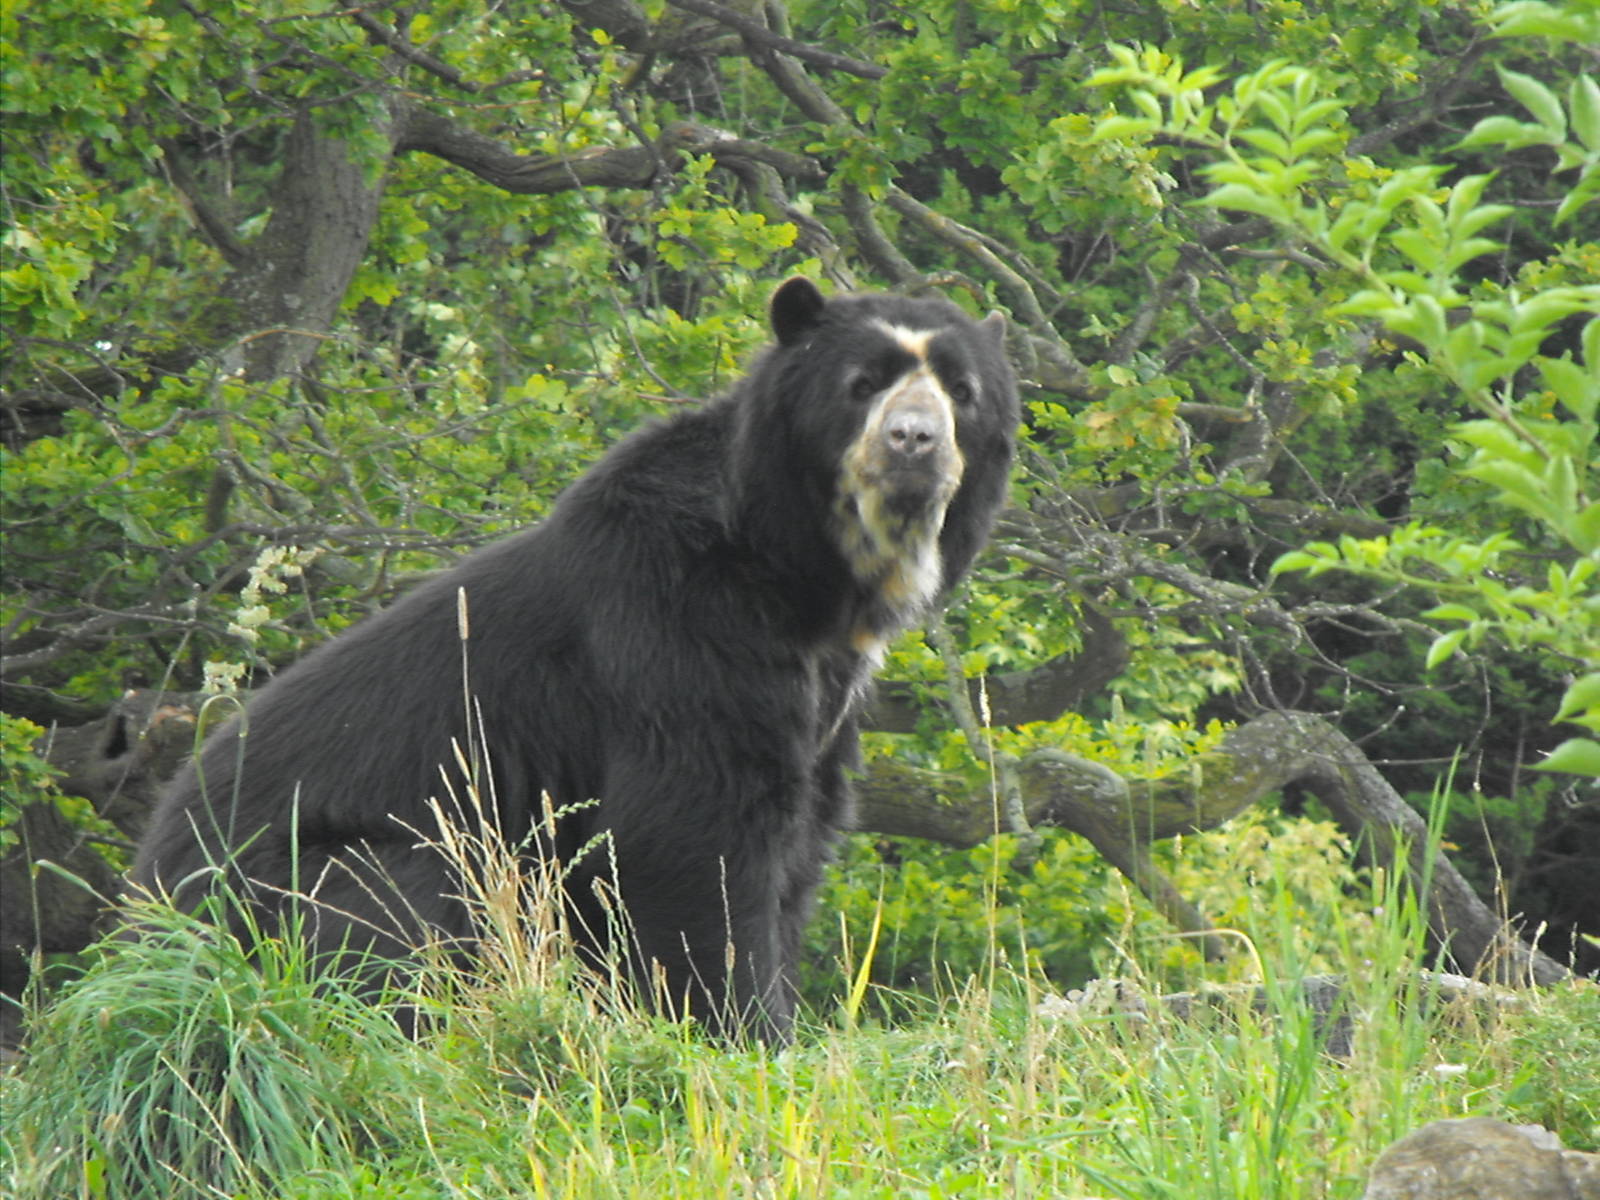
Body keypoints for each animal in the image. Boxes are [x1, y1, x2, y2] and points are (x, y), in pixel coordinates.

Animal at [130, 277, 1018, 1043]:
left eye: (961, 391)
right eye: (861, 385)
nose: (915, 443)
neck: (809, 578)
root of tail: (141, 902)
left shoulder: (825, 698)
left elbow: (796, 845)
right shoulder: (678, 631)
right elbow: (691, 834)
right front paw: (742, 1029)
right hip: (291, 883)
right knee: (396, 908)